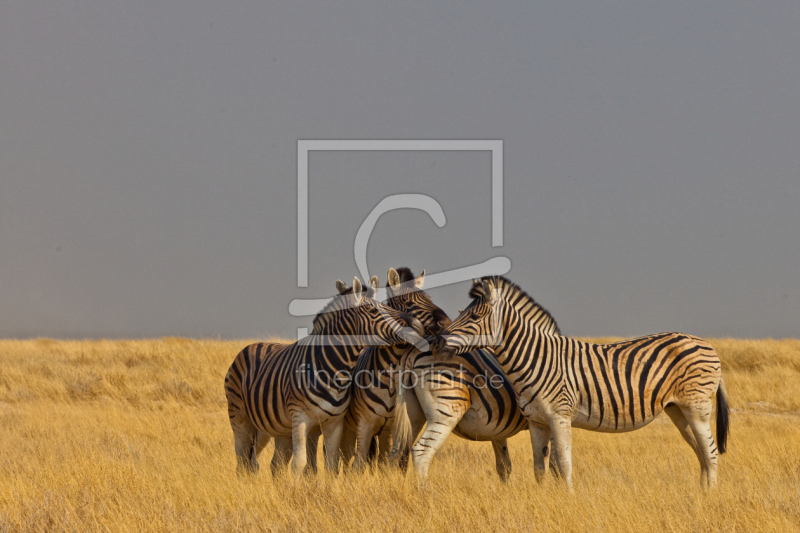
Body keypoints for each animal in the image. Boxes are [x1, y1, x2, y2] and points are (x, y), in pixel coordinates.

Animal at [225, 274, 424, 474]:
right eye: (373, 310)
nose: (417, 325)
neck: (335, 370)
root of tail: (253, 345)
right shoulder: (301, 419)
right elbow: (300, 464)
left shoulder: (334, 424)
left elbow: (332, 464)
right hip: (241, 420)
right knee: (243, 463)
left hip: (274, 427)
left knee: (272, 464)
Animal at [434, 276, 728, 488]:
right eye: (461, 312)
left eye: (474, 317)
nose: (437, 341)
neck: (535, 358)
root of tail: (707, 345)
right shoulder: (537, 422)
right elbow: (540, 468)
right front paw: (543, 500)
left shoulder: (559, 416)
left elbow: (563, 464)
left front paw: (568, 499)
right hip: (678, 410)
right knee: (702, 452)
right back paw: (701, 492)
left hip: (698, 407)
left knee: (711, 452)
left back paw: (709, 497)